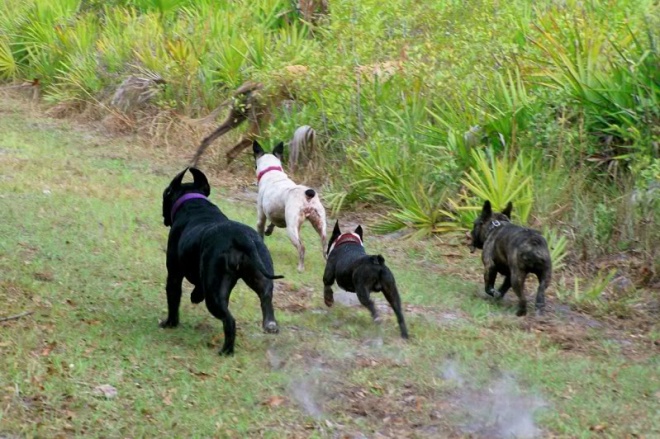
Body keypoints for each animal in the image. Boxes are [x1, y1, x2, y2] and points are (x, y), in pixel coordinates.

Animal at [162, 167, 284, 356]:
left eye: (165, 193)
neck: (194, 202)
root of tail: (241, 237)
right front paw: (195, 295)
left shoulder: (174, 274)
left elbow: (173, 299)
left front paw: (170, 323)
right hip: (258, 276)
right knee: (265, 297)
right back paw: (269, 324)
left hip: (214, 294)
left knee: (229, 320)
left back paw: (226, 351)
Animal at [253, 141, 328, 272]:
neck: (272, 172)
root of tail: (307, 194)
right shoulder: (276, 213)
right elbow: (273, 222)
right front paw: (269, 230)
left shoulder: (261, 218)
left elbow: (260, 233)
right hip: (320, 226)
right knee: (325, 248)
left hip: (291, 229)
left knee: (301, 248)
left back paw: (300, 268)